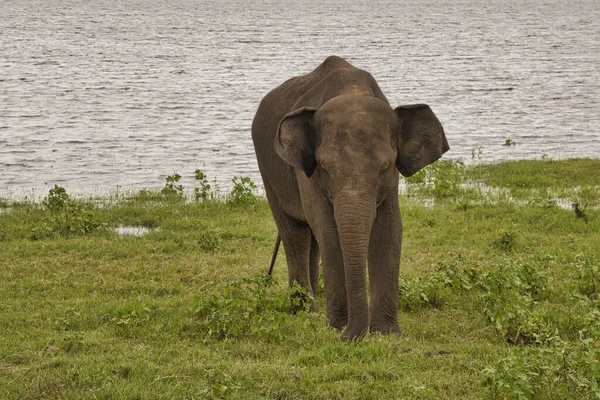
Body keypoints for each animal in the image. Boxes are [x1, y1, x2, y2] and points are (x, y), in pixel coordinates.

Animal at [251, 54, 448, 340]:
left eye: (385, 167)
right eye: (325, 167)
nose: (351, 335)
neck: (352, 90)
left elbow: (390, 229)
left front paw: (388, 334)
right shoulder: (308, 176)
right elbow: (329, 230)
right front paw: (337, 328)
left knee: (311, 242)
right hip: (268, 170)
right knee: (295, 234)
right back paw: (306, 312)